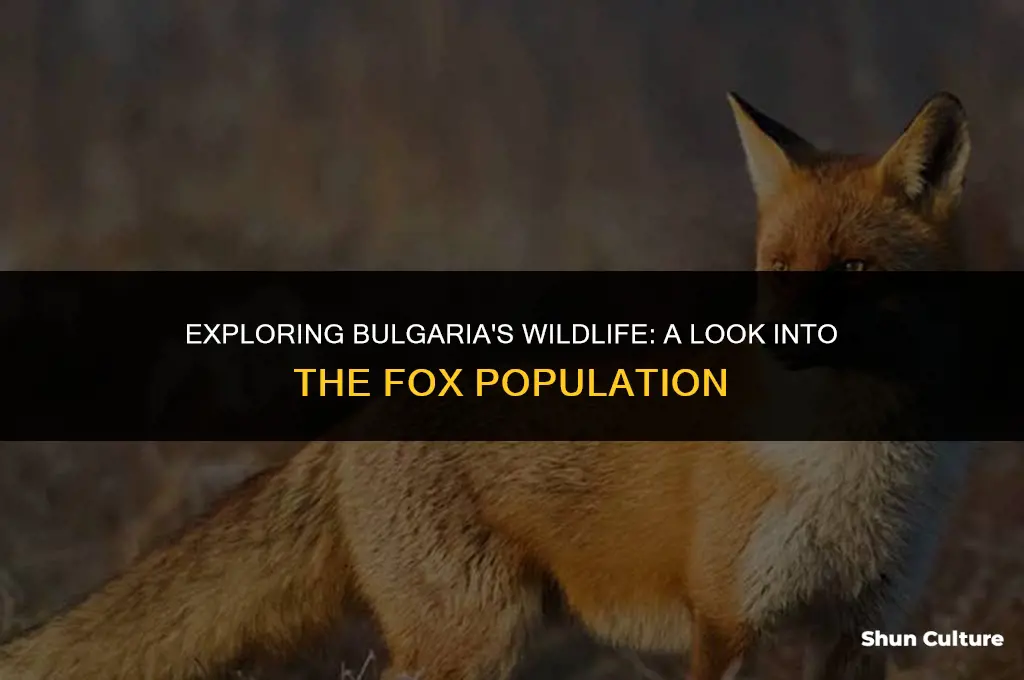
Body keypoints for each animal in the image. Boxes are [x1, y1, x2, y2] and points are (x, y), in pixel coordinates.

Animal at [0, 91, 977, 680]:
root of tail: (366, 410)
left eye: (853, 270)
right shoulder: (727, 623)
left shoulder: (861, 628)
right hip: (472, 641)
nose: (786, 341)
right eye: (778, 271)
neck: (856, 470)